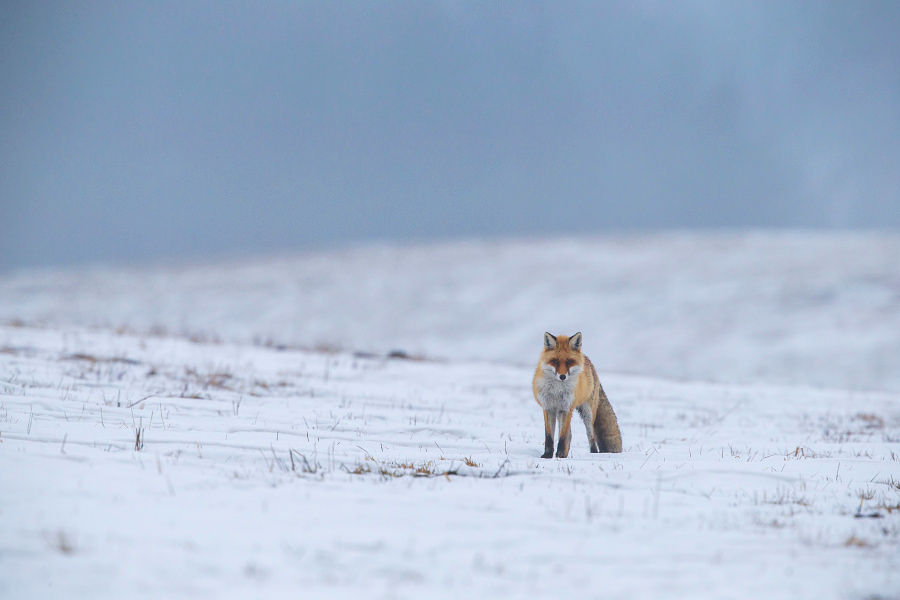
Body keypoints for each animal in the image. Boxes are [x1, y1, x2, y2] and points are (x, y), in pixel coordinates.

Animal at [536, 330, 620, 458]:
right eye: (555, 361)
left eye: (569, 362)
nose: (562, 376)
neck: (557, 391)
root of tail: (586, 358)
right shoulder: (548, 408)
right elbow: (549, 436)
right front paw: (548, 455)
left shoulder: (566, 408)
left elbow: (563, 436)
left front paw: (559, 455)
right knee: (570, 435)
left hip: (587, 413)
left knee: (591, 436)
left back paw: (593, 453)